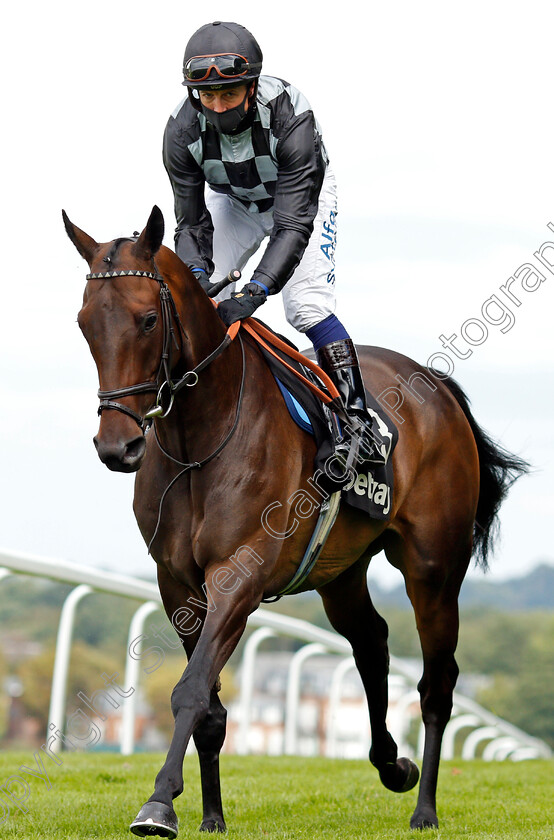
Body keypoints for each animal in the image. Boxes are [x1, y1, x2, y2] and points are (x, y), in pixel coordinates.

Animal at [64, 202, 528, 832]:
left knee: (436, 684)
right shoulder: (177, 584)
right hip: (341, 571)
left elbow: (190, 689)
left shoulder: (239, 575)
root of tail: (439, 389)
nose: (117, 446)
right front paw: (211, 817)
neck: (199, 437)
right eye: (86, 323)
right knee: (371, 641)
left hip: (434, 569)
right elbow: (209, 705)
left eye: (146, 320)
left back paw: (425, 808)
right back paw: (391, 764)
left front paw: (159, 803)